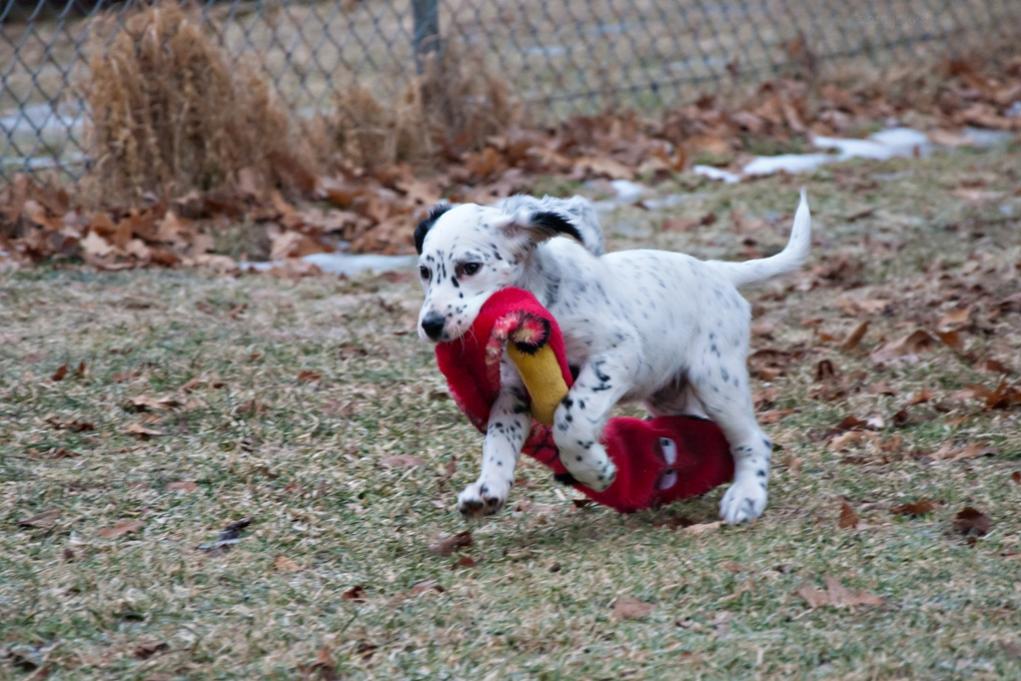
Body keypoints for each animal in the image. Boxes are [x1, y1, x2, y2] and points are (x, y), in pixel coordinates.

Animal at [410, 193, 808, 526]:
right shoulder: (514, 391)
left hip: (717, 379)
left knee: (753, 439)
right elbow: (498, 438)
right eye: (424, 272)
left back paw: (746, 497)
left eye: (470, 267)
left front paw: (596, 470)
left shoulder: (617, 353)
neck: (546, 296)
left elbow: (571, 418)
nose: (430, 325)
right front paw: (487, 490)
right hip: (669, 393)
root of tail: (717, 270)